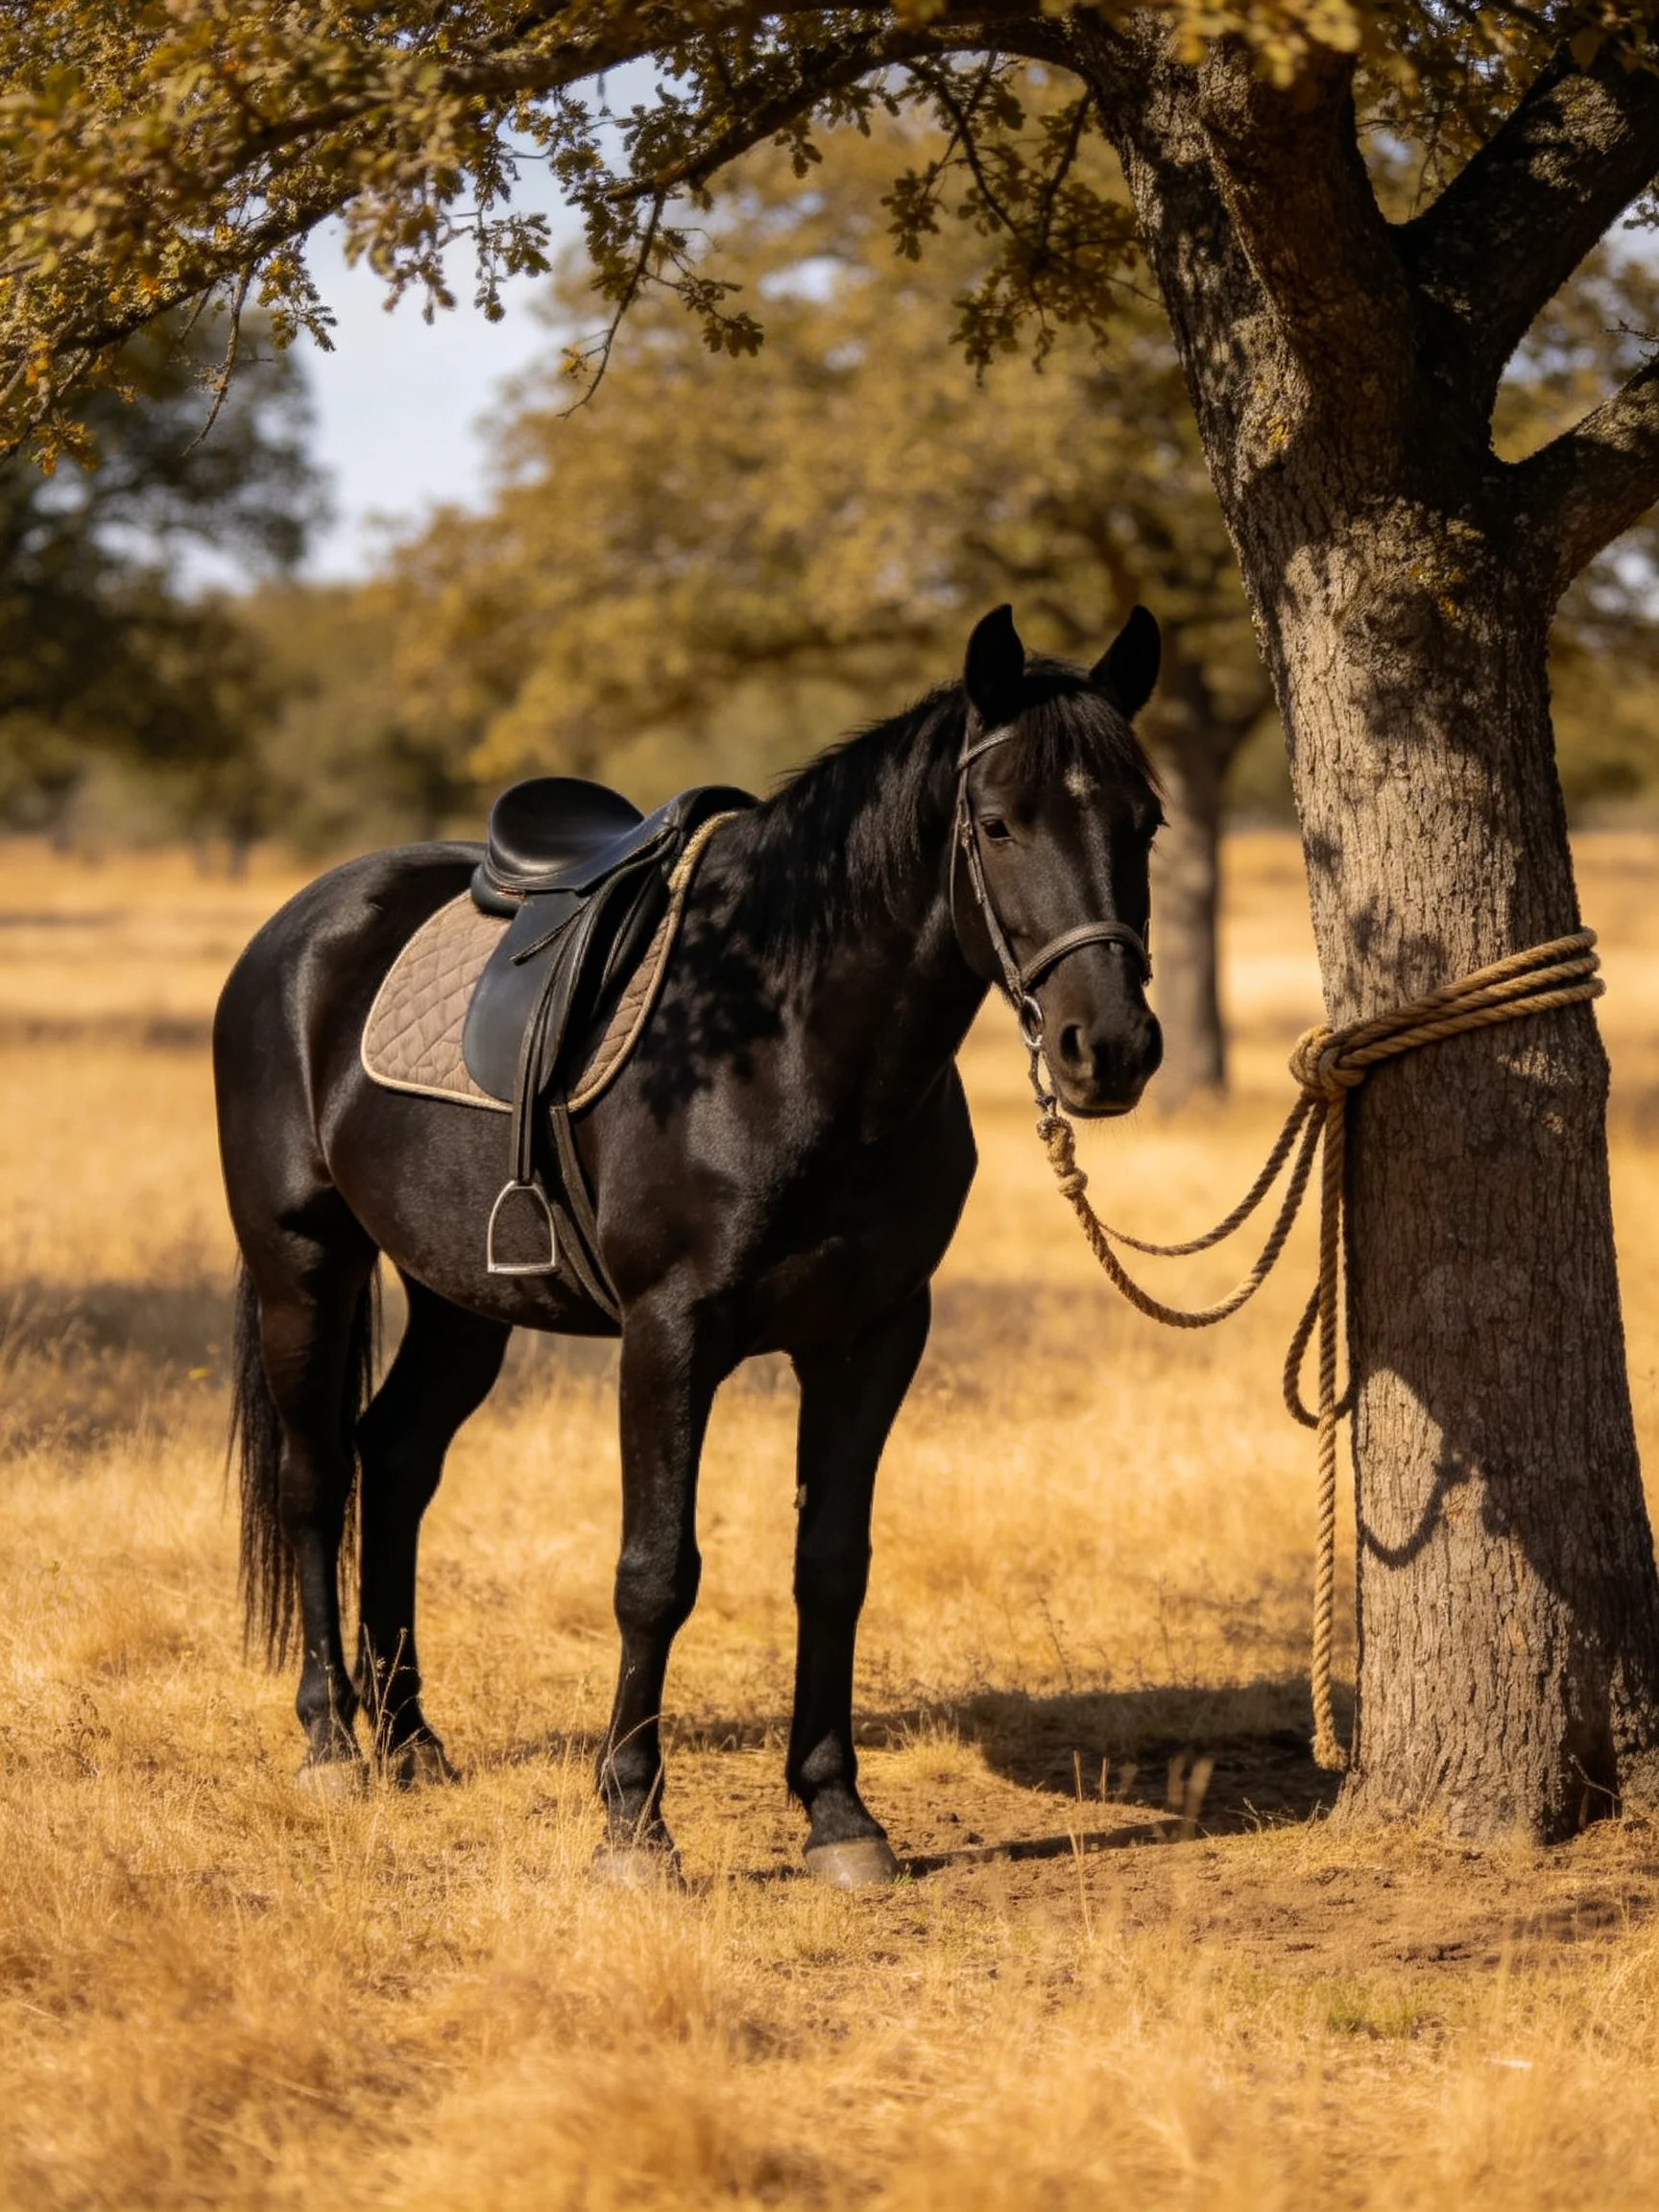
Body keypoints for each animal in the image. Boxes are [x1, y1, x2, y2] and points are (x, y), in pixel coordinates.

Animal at [215, 602, 1165, 1885]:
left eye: (1145, 819)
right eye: (999, 821)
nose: (1107, 1049)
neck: (787, 1038)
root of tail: (300, 928)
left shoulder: (874, 1337)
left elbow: (833, 1565)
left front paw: (838, 1814)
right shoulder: (670, 1336)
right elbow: (655, 1574)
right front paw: (631, 1826)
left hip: (459, 1295)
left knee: (396, 1461)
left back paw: (411, 1740)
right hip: (303, 1265)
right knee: (317, 1479)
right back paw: (332, 1745)